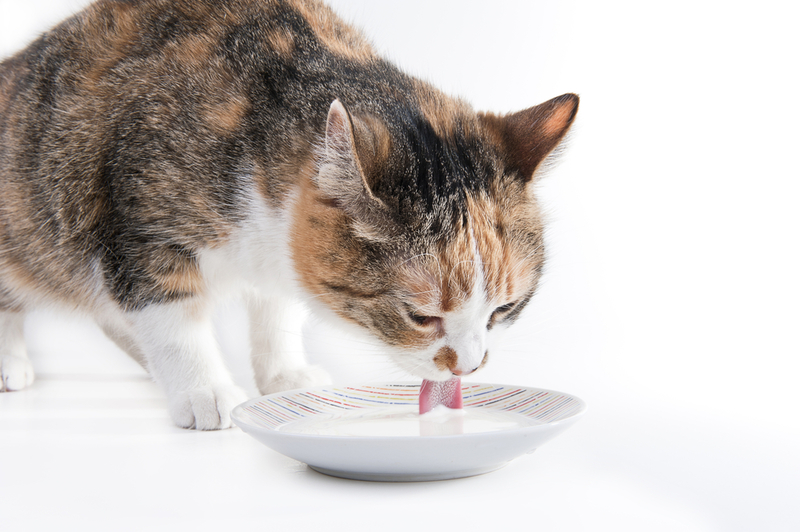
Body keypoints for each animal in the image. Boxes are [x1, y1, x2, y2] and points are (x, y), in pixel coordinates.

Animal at [0, 0, 580, 428]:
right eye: (421, 317)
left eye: (505, 309)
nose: (471, 364)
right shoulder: (140, 224)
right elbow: (170, 316)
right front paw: (204, 389)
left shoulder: (283, 250)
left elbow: (278, 307)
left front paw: (284, 373)